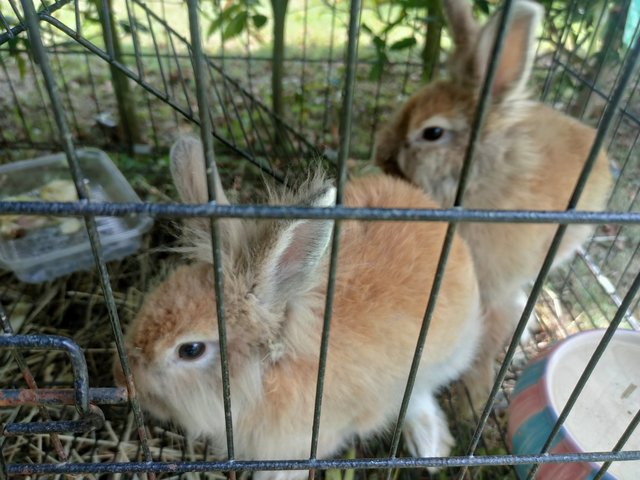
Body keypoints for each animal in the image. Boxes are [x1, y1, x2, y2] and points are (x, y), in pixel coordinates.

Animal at [117, 137, 482, 478]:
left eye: (190, 349)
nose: (125, 378)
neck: (272, 371)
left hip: (442, 357)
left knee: (419, 394)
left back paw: (430, 446)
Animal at [372, 0, 612, 412]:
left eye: (432, 132)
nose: (381, 157)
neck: (479, 179)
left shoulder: (492, 287)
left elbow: (486, 339)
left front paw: (477, 393)